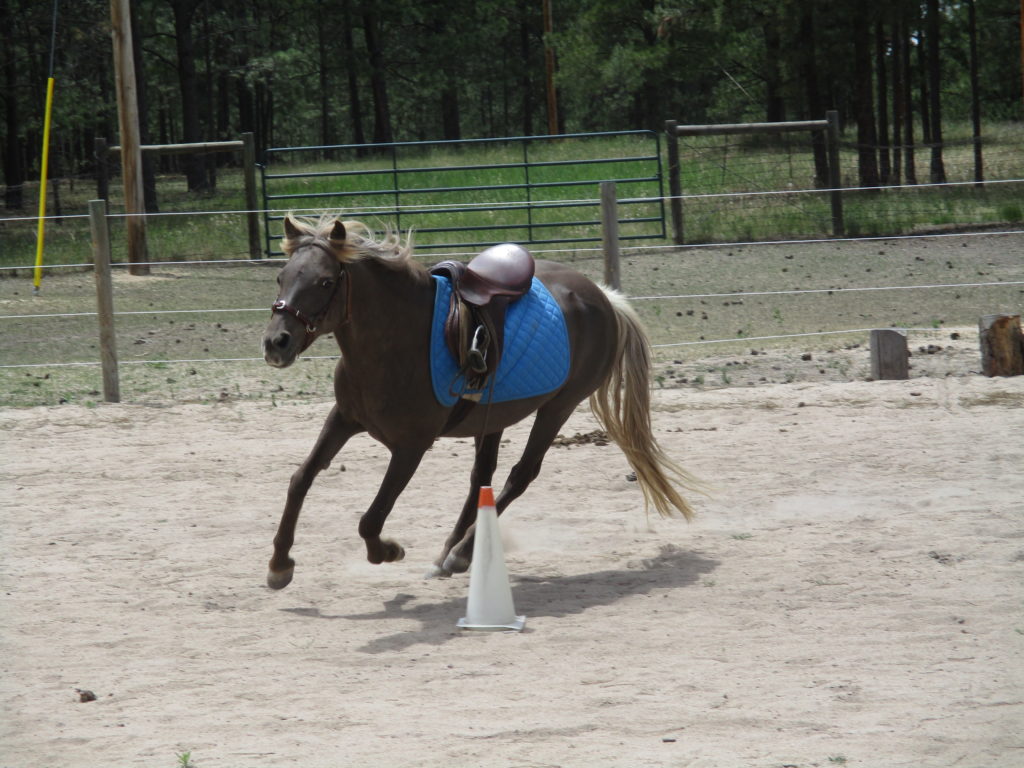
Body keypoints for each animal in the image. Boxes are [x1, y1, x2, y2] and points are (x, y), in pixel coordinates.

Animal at [264, 217, 696, 589]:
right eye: (281, 277)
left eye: (324, 281)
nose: (275, 343)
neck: (398, 340)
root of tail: (603, 297)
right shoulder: (344, 419)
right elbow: (300, 480)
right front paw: (280, 564)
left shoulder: (411, 447)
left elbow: (371, 518)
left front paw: (387, 551)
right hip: (493, 418)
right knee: (481, 478)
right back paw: (450, 554)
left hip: (558, 407)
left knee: (520, 475)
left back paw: (461, 554)